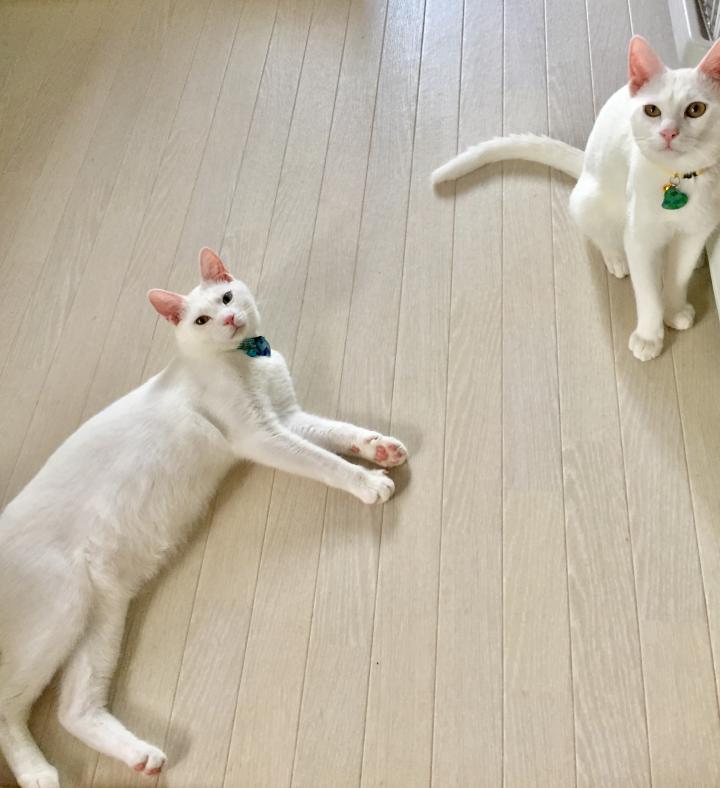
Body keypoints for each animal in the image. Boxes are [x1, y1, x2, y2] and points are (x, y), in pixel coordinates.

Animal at [0, 248, 407, 788]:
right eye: (200, 320)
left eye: (228, 297)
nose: (230, 319)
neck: (246, 361)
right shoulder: (262, 437)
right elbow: (324, 462)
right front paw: (366, 482)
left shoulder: (288, 419)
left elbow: (336, 433)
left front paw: (378, 447)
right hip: (56, 614)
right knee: (6, 706)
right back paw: (38, 773)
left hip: (102, 613)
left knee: (73, 711)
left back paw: (139, 756)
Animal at [432, 35, 720, 361]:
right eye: (652, 111)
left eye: (696, 109)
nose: (669, 133)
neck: (680, 177)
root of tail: (583, 168)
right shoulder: (640, 237)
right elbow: (647, 292)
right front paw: (648, 337)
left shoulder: (695, 232)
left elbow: (677, 276)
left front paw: (674, 309)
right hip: (590, 201)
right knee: (603, 236)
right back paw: (616, 258)